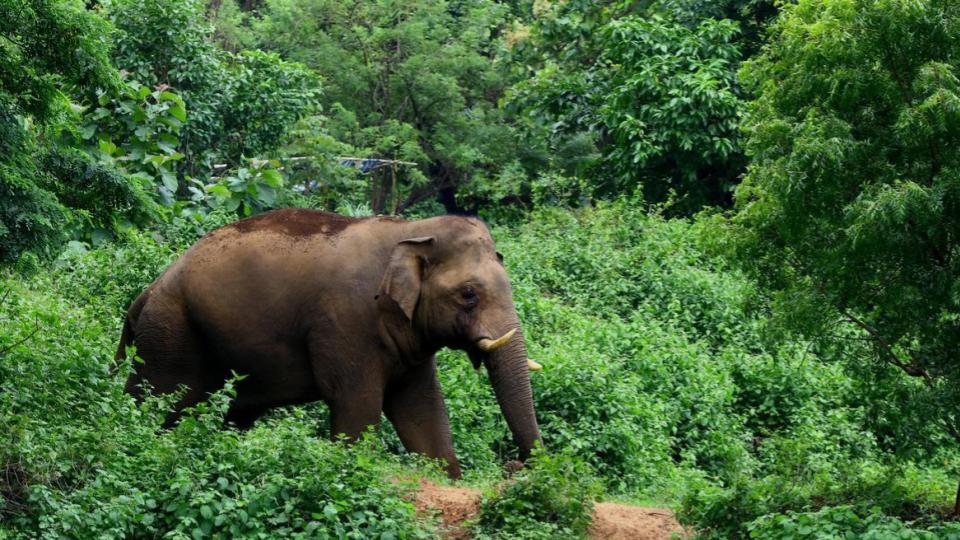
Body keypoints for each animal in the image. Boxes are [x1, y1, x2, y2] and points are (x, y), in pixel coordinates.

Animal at [115, 208, 543, 478]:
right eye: (469, 294)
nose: (514, 466)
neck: (413, 229)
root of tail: (146, 292)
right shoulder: (346, 322)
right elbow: (357, 405)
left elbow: (422, 408)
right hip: (171, 334)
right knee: (156, 403)